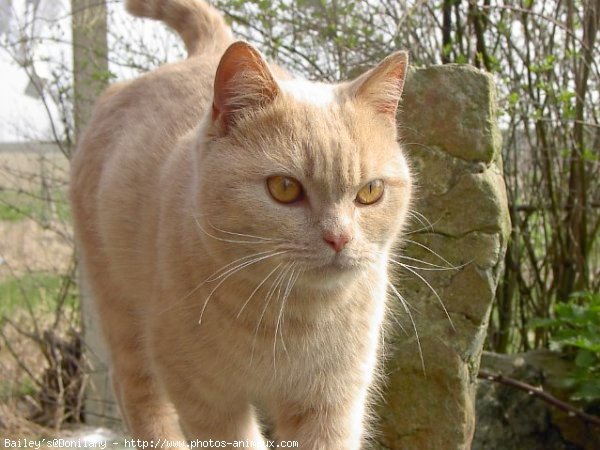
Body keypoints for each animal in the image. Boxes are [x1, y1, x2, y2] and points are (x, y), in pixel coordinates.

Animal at [68, 0, 410, 448]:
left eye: (370, 192)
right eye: (284, 188)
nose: (339, 238)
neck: (289, 319)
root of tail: (209, 51)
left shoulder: (330, 403)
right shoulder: (207, 399)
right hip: (121, 311)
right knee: (138, 396)